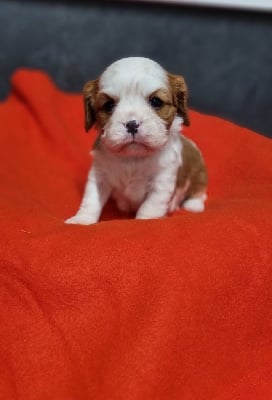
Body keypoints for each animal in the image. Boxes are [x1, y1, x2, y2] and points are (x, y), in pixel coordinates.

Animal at [65, 57, 207, 225]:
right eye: (108, 105)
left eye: (156, 102)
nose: (132, 124)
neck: (133, 158)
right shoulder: (99, 175)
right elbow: (91, 199)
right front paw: (82, 219)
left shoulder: (161, 182)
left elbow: (150, 207)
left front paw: (144, 221)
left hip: (199, 173)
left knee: (199, 191)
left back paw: (194, 205)